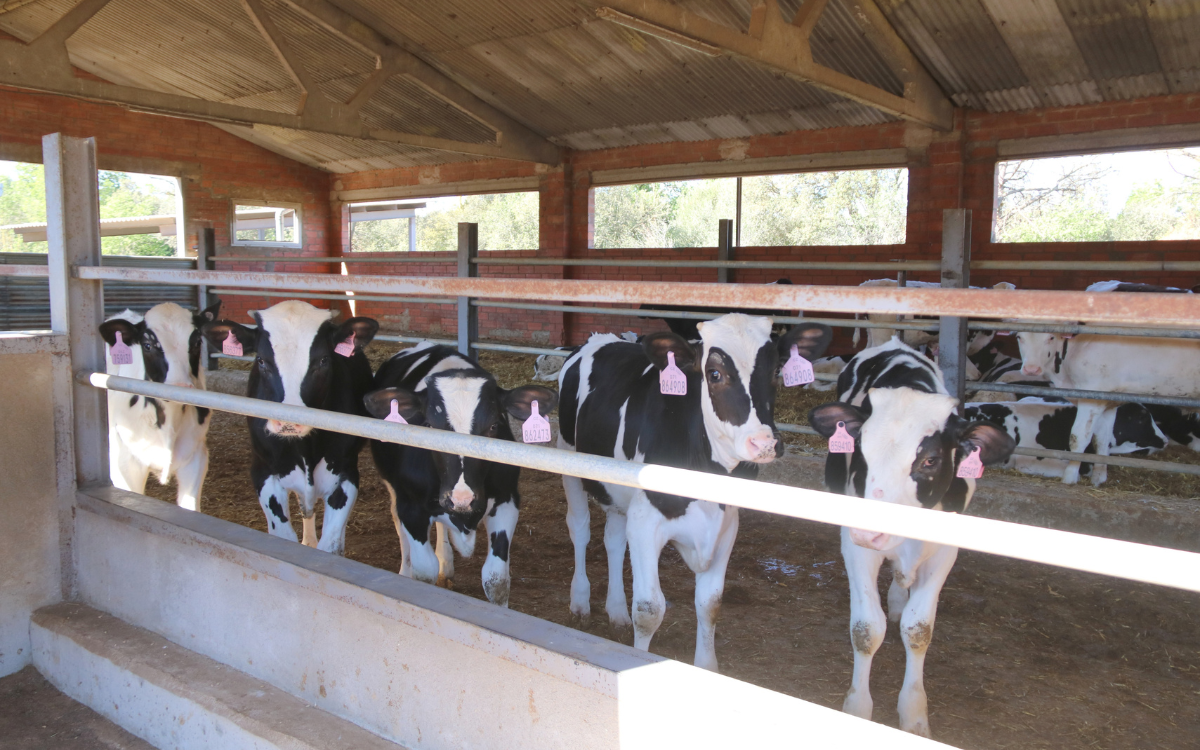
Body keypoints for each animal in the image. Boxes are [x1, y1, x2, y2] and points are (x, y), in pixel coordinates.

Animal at [201, 301, 376, 552]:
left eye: (324, 360)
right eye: (261, 360)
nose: (288, 422)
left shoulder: (346, 473)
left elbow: (330, 544)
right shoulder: (263, 471)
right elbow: (283, 537)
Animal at [362, 343, 554, 604]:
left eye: (494, 426)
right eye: (429, 425)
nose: (461, 498)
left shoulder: (507, 499)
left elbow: (496, 579)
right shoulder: (411, 507)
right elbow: (424, 572)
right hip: (393, 487)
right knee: (398, 523)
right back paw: (405, 569)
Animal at [554, 312, 830, 672]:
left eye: (775, 371)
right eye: (714, 373)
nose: (764, 444)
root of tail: (598, 338)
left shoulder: (726, 526)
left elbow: (710, 604)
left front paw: (707, 668)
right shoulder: (646, 523)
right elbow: (649, 610)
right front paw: (634, 660)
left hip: (619, 495)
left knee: (613, 539)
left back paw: (615, 612)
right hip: (568, 457)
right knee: (580, 528)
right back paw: (580, 602)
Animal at [806, 338, 1012, 739]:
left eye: (930, 460)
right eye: (860, 450)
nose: (870, 530)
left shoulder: (944, 550)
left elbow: (918, 629)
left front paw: (914, 714)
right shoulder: (855, 544)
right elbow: (866, 628)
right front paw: (857, 709)